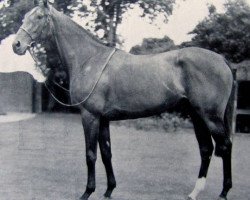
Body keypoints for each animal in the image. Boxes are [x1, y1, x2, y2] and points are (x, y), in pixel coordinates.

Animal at [12, 0, 234, 200]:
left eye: (39, 17)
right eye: (24, 17)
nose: (16, 45)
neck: (89, 60)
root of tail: (222, 60)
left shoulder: (90, 116)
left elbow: (90, 154)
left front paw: (87, 192)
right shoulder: (103, 119)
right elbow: (106, 153)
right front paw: (109, 190)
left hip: (210, 116)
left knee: (225, 146)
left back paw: (224, 192)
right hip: (197, 115)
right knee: (206, 149)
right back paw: (195, 192)